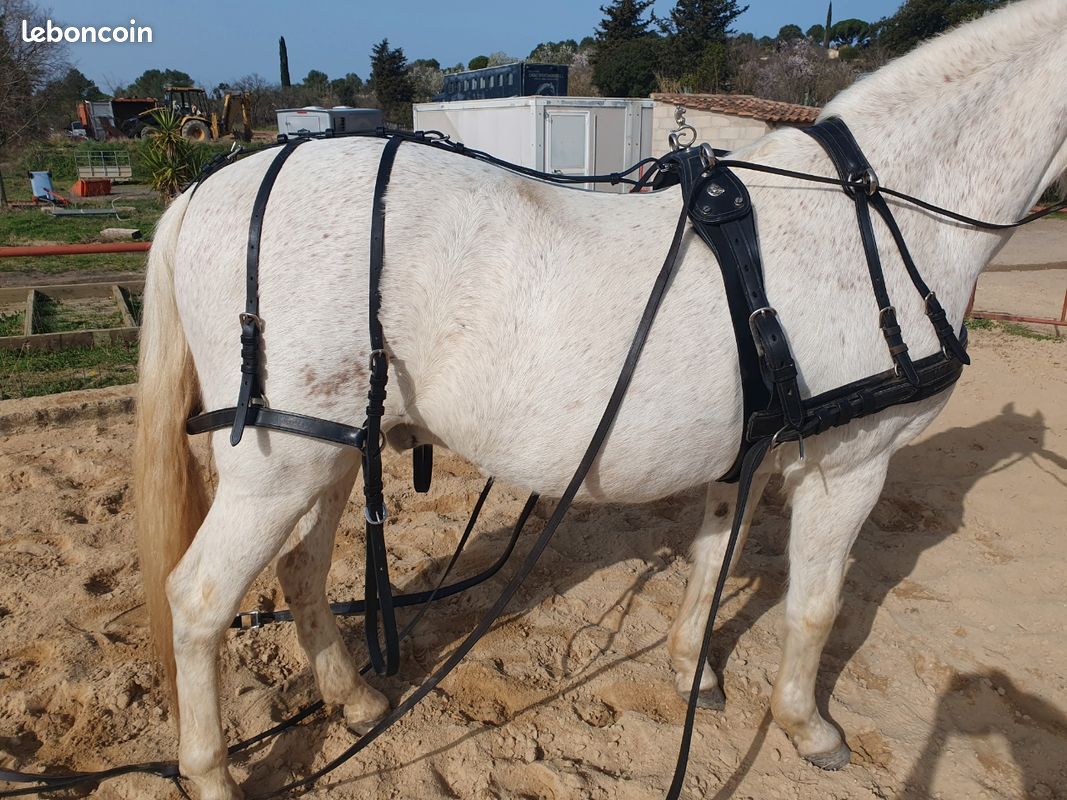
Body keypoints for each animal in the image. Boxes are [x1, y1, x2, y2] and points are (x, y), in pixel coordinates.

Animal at [133, 2, 1067, 797]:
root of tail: (206, 188)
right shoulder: (852, 465)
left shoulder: (752, 450)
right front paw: (806, 726)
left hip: (330, 450)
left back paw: (354, 698)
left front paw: (695, 669)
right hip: (280, 465)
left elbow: (711, 562)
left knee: (300, 569)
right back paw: (211, 772)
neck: (870, 213)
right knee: (200, 601)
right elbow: (814, 608)